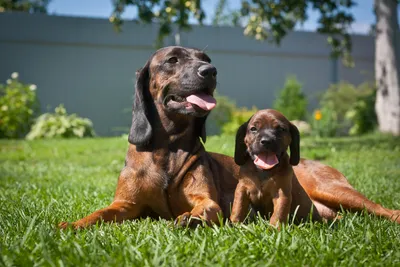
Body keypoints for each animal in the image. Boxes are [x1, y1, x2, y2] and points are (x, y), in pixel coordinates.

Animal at [59, 46, 241, 230]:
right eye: (172, 59)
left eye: (206, 59)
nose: (210, 70)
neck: (169, 147)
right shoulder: (124, 204)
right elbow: (99, 213)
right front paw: (73, 225)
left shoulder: (207, 200)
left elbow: (206, 207)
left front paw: (190, 218)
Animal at [231, 108, 400, 224]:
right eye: (253, 129)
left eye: (281, 129)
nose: (266, 141)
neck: (263, 172)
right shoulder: (242, 189)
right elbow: (238, 207)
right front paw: (234, 225)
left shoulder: (282, 193)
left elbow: (278, 213)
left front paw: (274, 230)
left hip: (333, 191)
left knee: (379, 208)